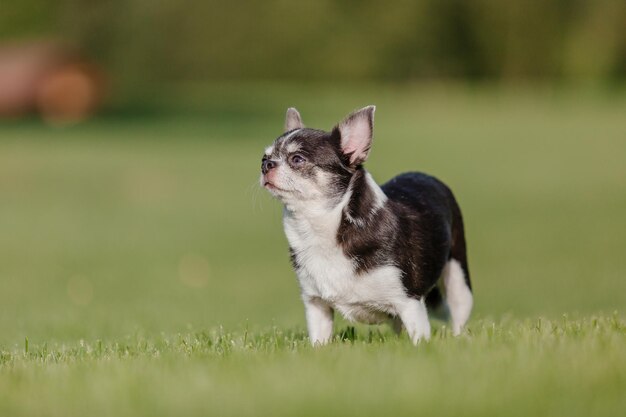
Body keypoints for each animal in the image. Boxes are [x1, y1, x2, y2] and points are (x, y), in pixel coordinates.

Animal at [260, 105, 472, 342]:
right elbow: (319, 340)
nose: (265, 164)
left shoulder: (410, 303)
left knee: (458, 313)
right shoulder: (316, 305)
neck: (320, 228)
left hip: (458, 278)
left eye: (297, 159)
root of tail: (426, 176)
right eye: (265, 157)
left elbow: (419, 339)